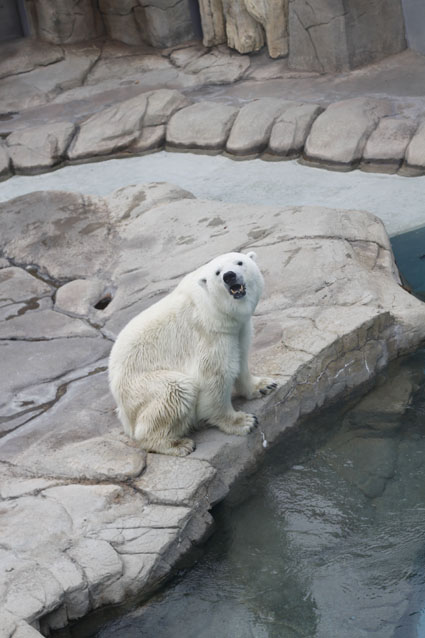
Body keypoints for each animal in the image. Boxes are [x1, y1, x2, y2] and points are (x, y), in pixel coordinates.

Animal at [107, 252, 276, 458]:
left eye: (240, 262)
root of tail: (123, 413)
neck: (214, 309)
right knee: (174, 390)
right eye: (217, 272)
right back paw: (177, 444)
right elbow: (214, 376)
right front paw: (243, 421)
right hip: (139, 388)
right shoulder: (209, 333)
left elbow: (242, 359)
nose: (229, 276)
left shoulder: (238, 330)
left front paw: (264, 385)